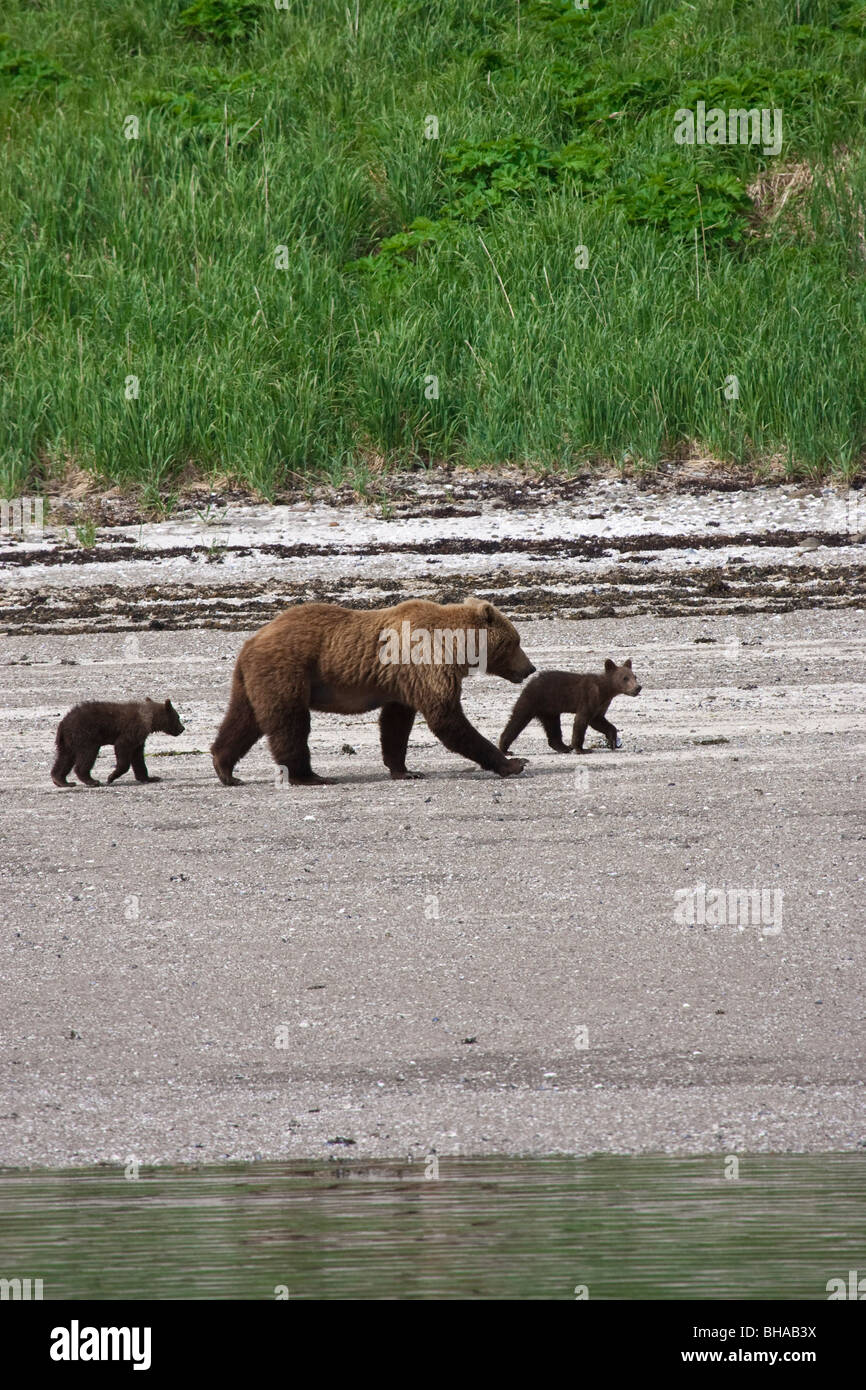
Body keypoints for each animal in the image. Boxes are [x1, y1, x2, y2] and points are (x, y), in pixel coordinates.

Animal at [211, 594, 536, 783]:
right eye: (515, 641)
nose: (530, 668)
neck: (456, 646)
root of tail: (252, 641)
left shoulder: (404, 681)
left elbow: (395, 724)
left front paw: (405, 770)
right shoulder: (426, 662)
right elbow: (447, 718)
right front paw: (513, 763)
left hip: (252, 680)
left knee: (243, 719)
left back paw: (224, 768)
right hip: (288, 670)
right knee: (289, 723)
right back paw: (309, 775)